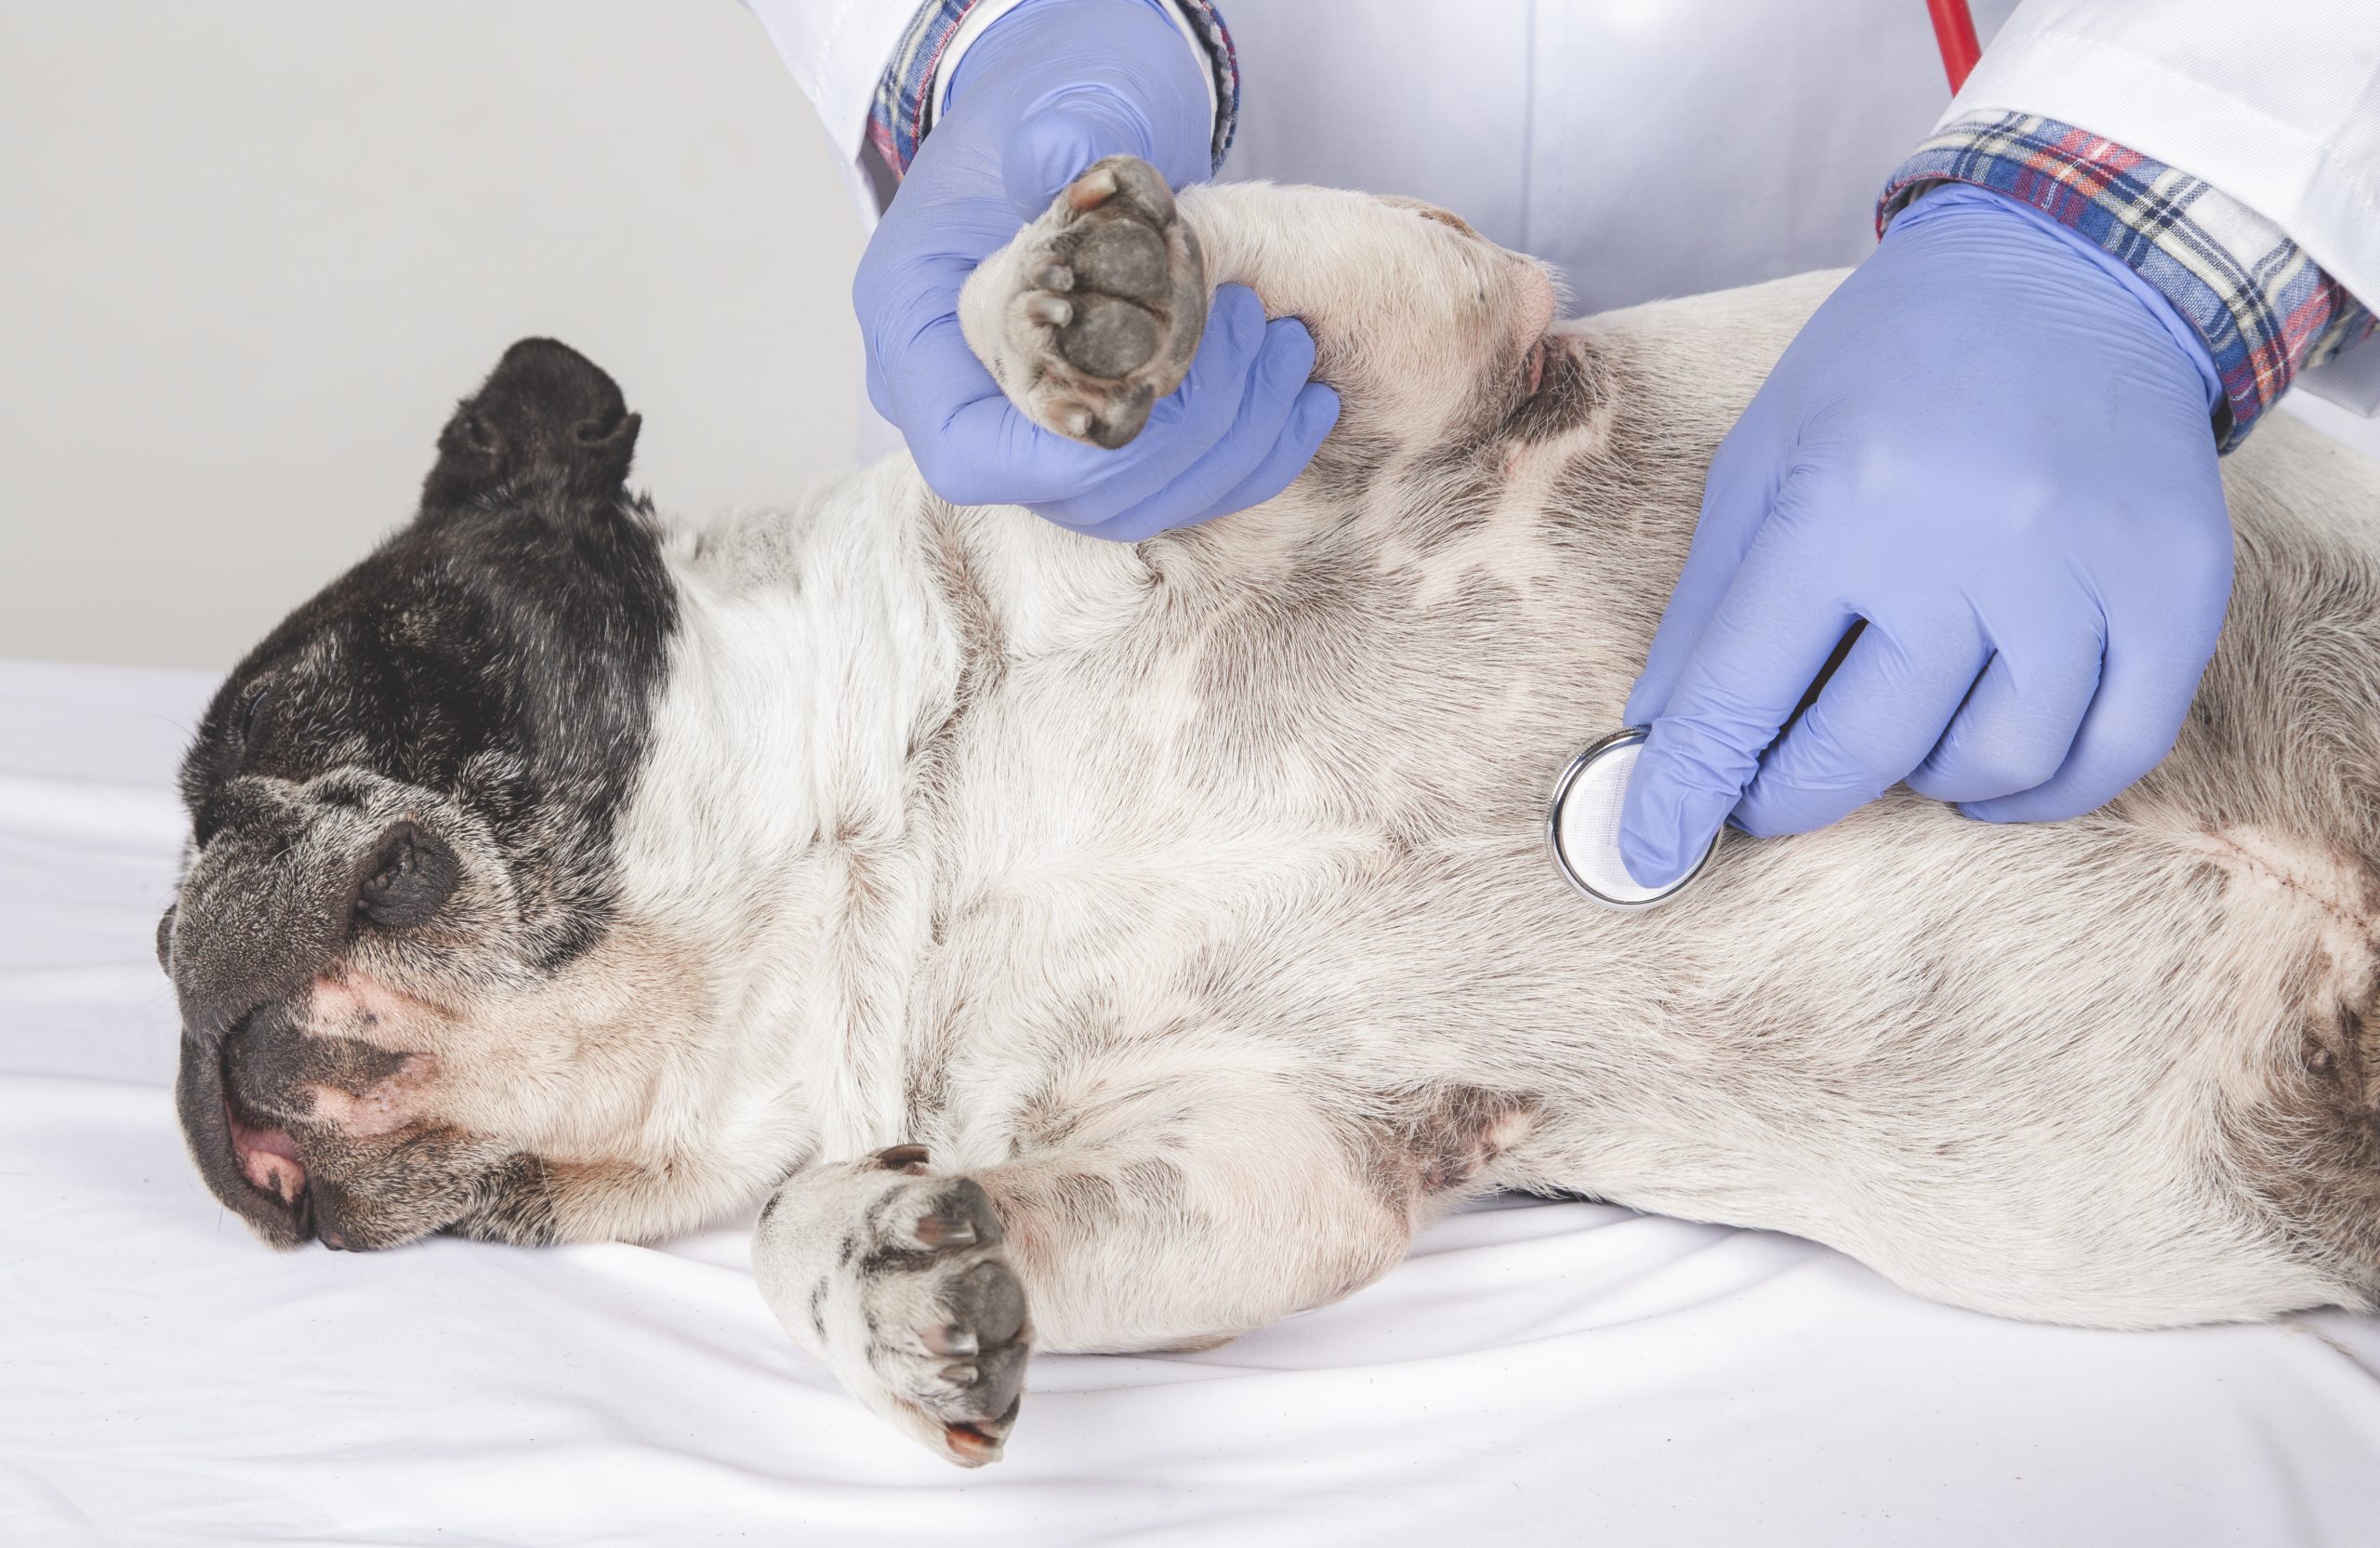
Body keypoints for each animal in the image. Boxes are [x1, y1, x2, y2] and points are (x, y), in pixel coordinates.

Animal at [158, 163, 2370, 1466]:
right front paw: (877, 1281)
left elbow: (1199, 239)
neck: (910, 833)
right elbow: (889, 1222)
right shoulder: (1282, 1140)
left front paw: (1071, 289)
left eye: (246, 738)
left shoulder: (1447, 351)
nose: (177, 956)